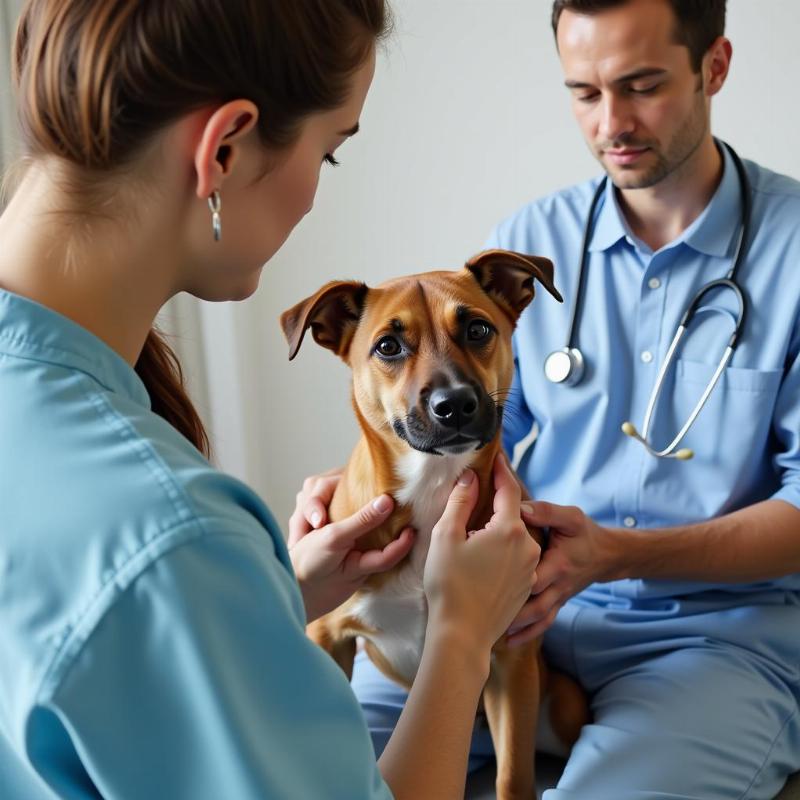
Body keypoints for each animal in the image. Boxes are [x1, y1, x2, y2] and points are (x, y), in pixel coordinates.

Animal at [282, 252, 588, 800]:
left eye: (477, 328)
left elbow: (514, 778)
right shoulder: (328, 637)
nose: (455, 405)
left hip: (562, 704)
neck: (432, 486)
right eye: (388, 346)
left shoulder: (512, 661)